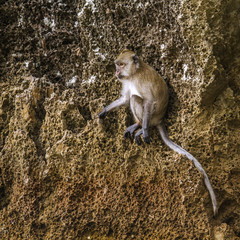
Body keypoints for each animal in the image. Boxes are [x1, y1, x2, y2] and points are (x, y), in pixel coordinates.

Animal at [98, 49, 218, 218]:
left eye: (121, 65)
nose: (117, 71)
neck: (133, 74)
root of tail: (160, 119)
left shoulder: (141, 82)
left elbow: (148, 101)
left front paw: (145, 130)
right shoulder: (127, 81)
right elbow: (125, 99)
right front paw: (104, 111)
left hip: (152, 117)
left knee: (136, 99)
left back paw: (141, 126)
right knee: (132, 98)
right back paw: (136, 125)